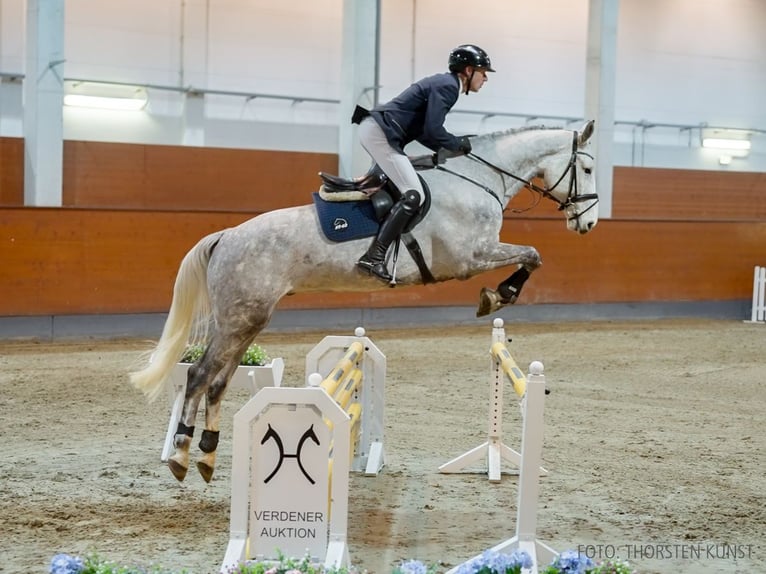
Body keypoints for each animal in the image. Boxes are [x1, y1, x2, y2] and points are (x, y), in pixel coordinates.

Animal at [130, 122, 600, 486]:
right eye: (589, 168)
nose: (589, 222)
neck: (477, 178)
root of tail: (226, 236)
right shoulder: (472, 257)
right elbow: (532, 254)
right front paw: (498, 295)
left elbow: (532, 255)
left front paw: (498, 295)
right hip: (238, 319)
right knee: (200, 375)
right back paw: (182, 455)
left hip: (248, 320)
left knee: (219, 381)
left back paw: (208, 456)